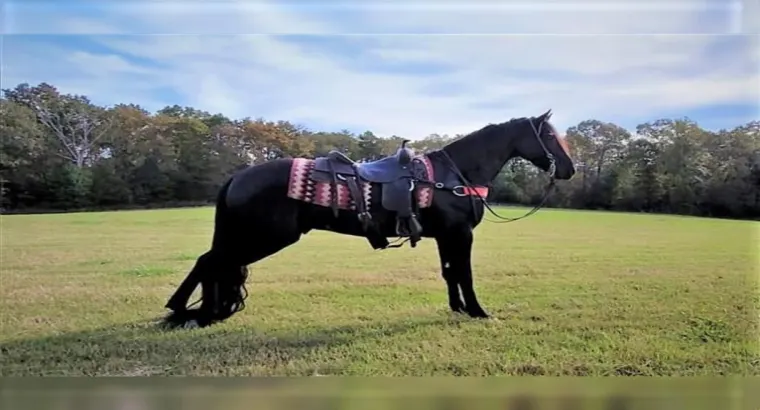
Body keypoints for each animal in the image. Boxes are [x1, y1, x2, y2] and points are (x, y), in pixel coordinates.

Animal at [163, 109, 575, 328]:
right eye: (550, 137)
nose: (570, 168)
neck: (453, 173)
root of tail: (239, 176)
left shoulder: (446, 237)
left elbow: (450, 274)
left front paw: (458, 308)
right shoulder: (460, 235)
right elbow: (465, 274)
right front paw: (477, 311)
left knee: (212, 263)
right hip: (263, 237)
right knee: (212, 263)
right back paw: (188, 311)